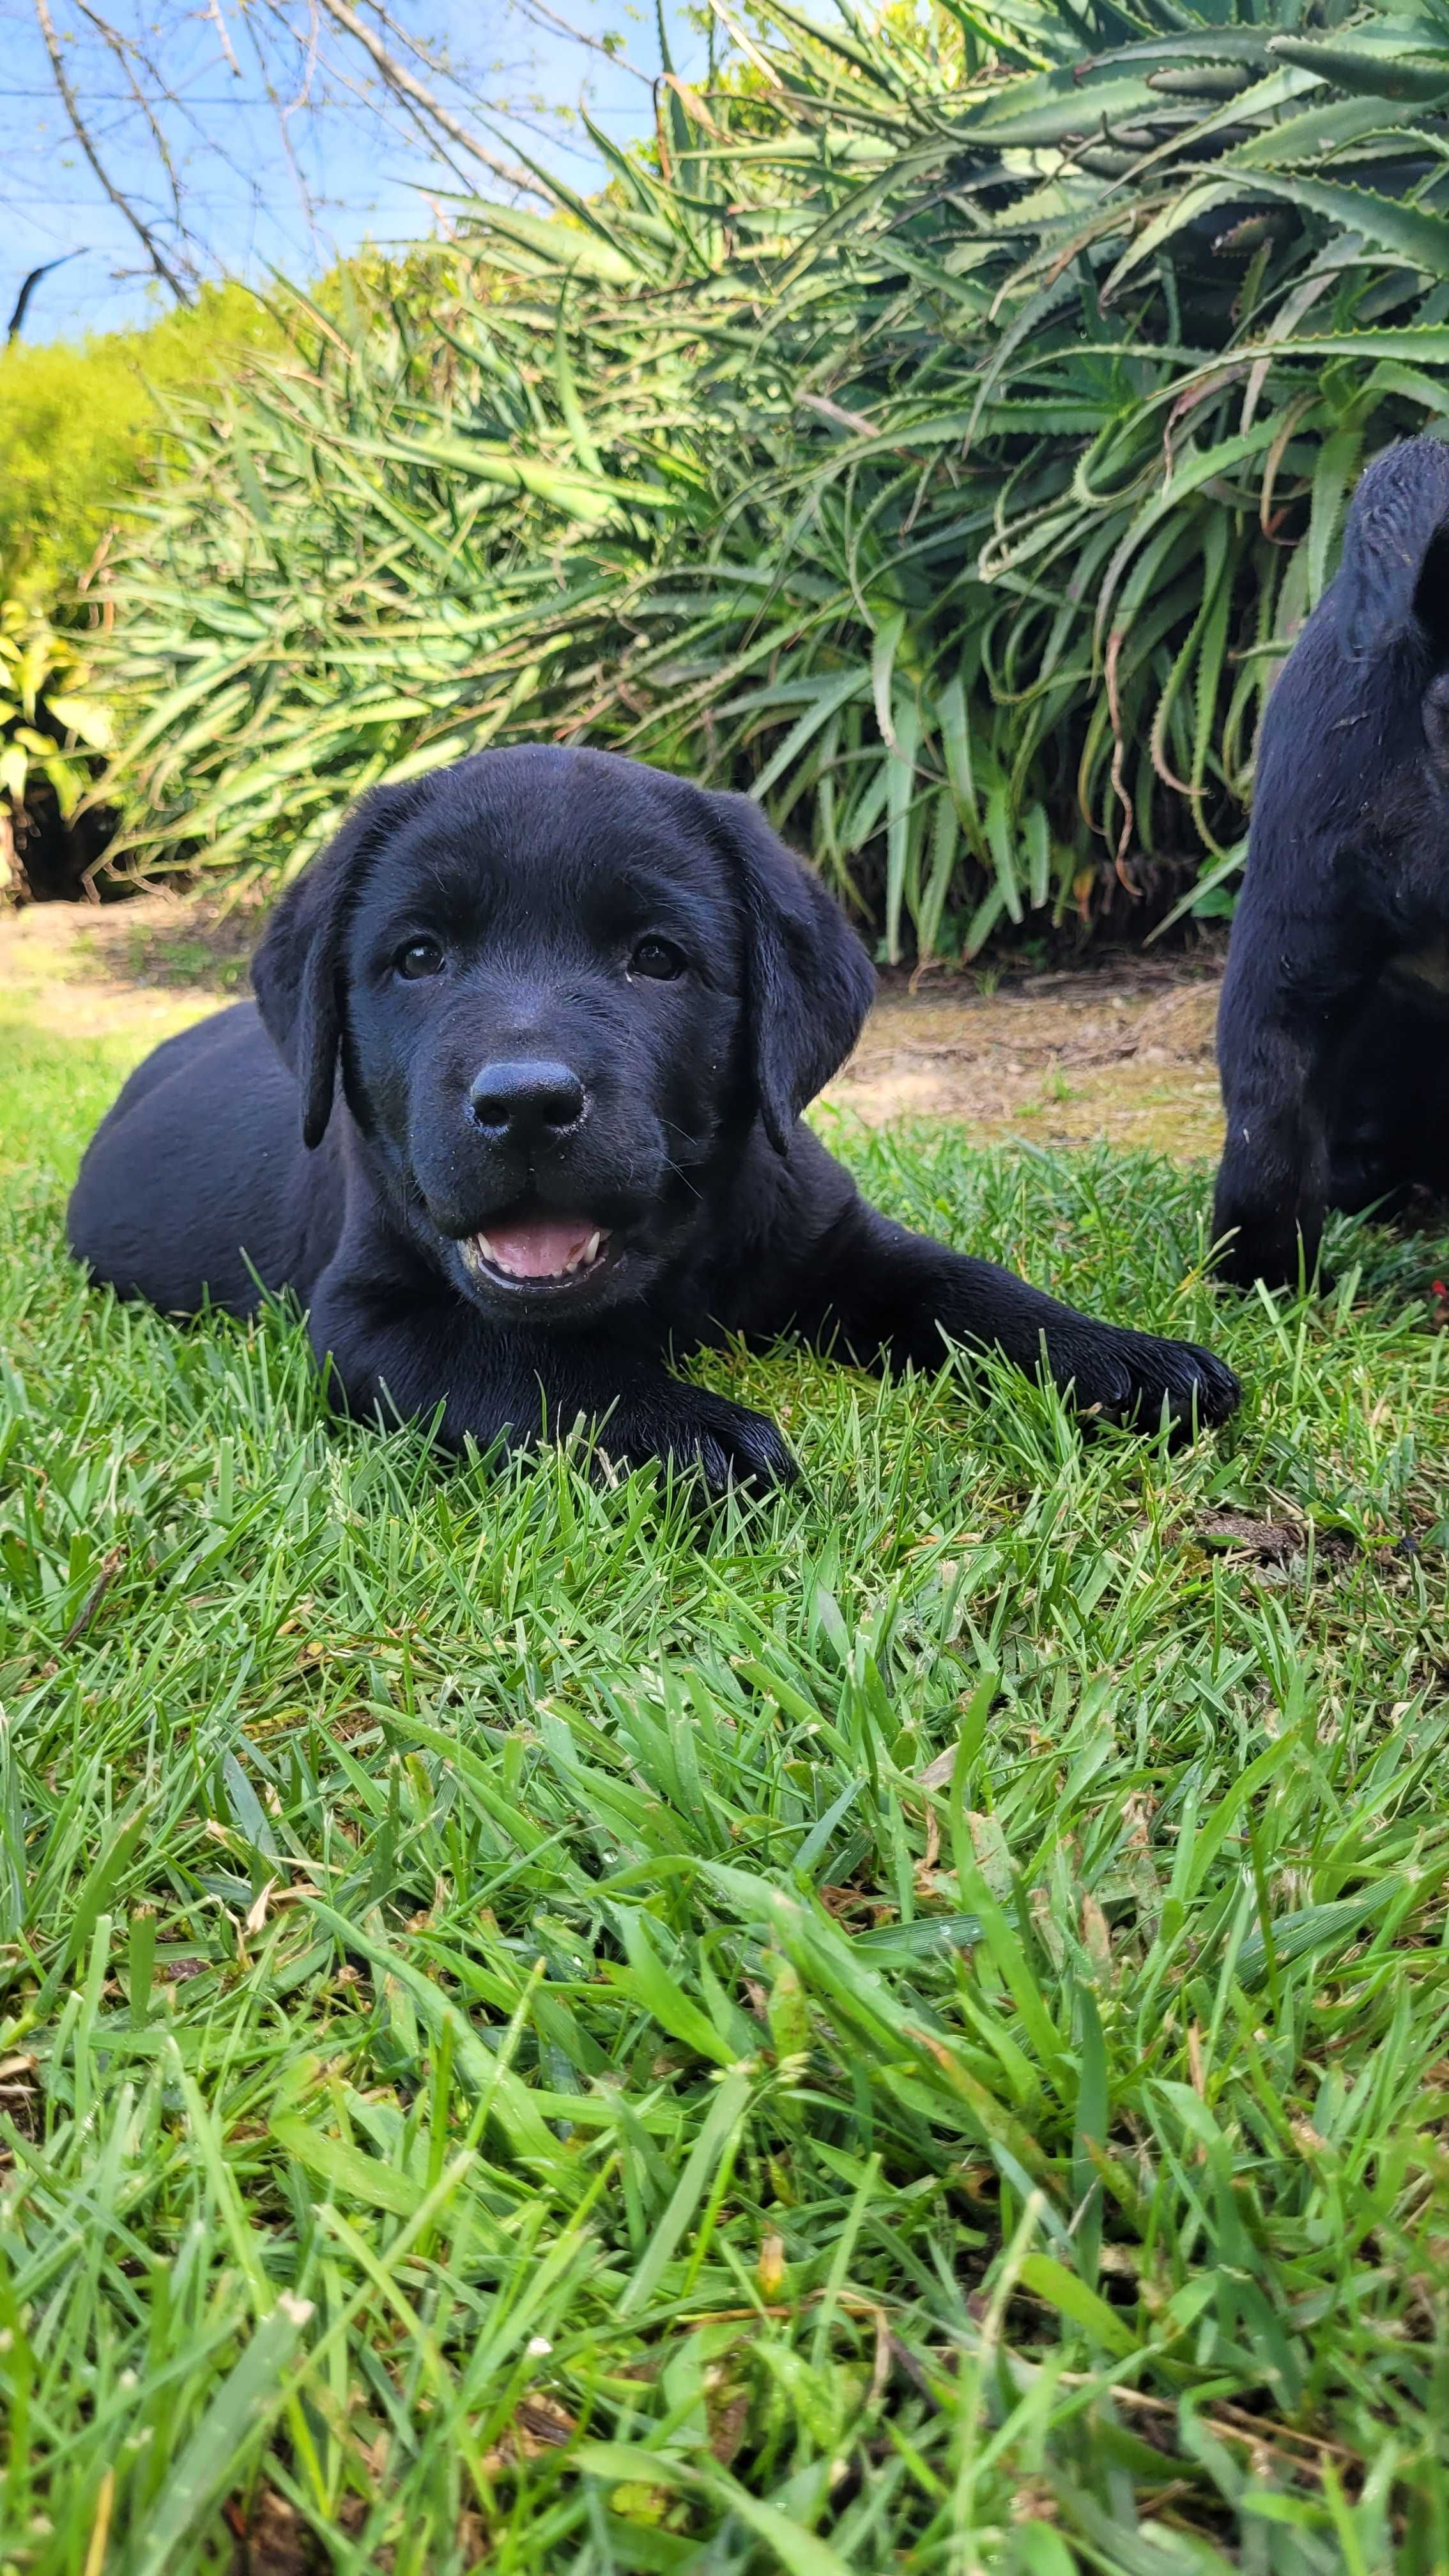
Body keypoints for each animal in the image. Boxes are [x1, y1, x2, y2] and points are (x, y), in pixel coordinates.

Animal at [70, 742, 1227, 1494]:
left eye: (658, 958)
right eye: (418, 956)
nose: (525, 1105)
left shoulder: (839, 1239)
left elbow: (962, 1283)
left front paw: (1114, 1356)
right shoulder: (363, 1317)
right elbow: (521, 1363)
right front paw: (678, 1431)